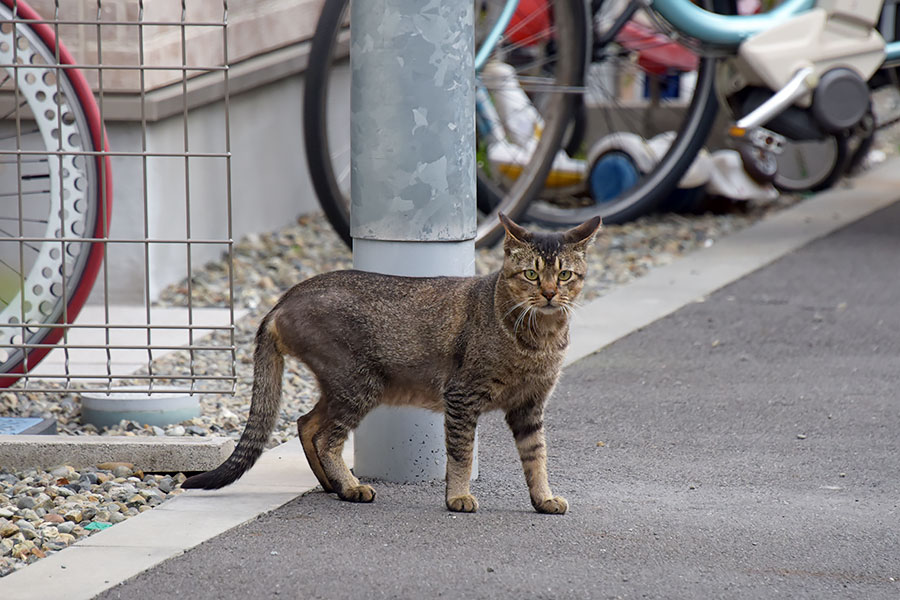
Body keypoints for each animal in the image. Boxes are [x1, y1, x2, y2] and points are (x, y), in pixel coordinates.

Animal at [183, 213, 600, 512]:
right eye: (531, 274)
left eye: (564, 274)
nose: (550, 293)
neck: (540, 339)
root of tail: (283, 300)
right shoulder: (462, 396)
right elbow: (462, 454)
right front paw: (458, 497)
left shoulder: (530, 406)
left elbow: (537, 456)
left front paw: (543, 498)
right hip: (359, 384)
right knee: (325, 437)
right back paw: (351, 487)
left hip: (343, 386)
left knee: (306, 424)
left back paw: (333, 486)